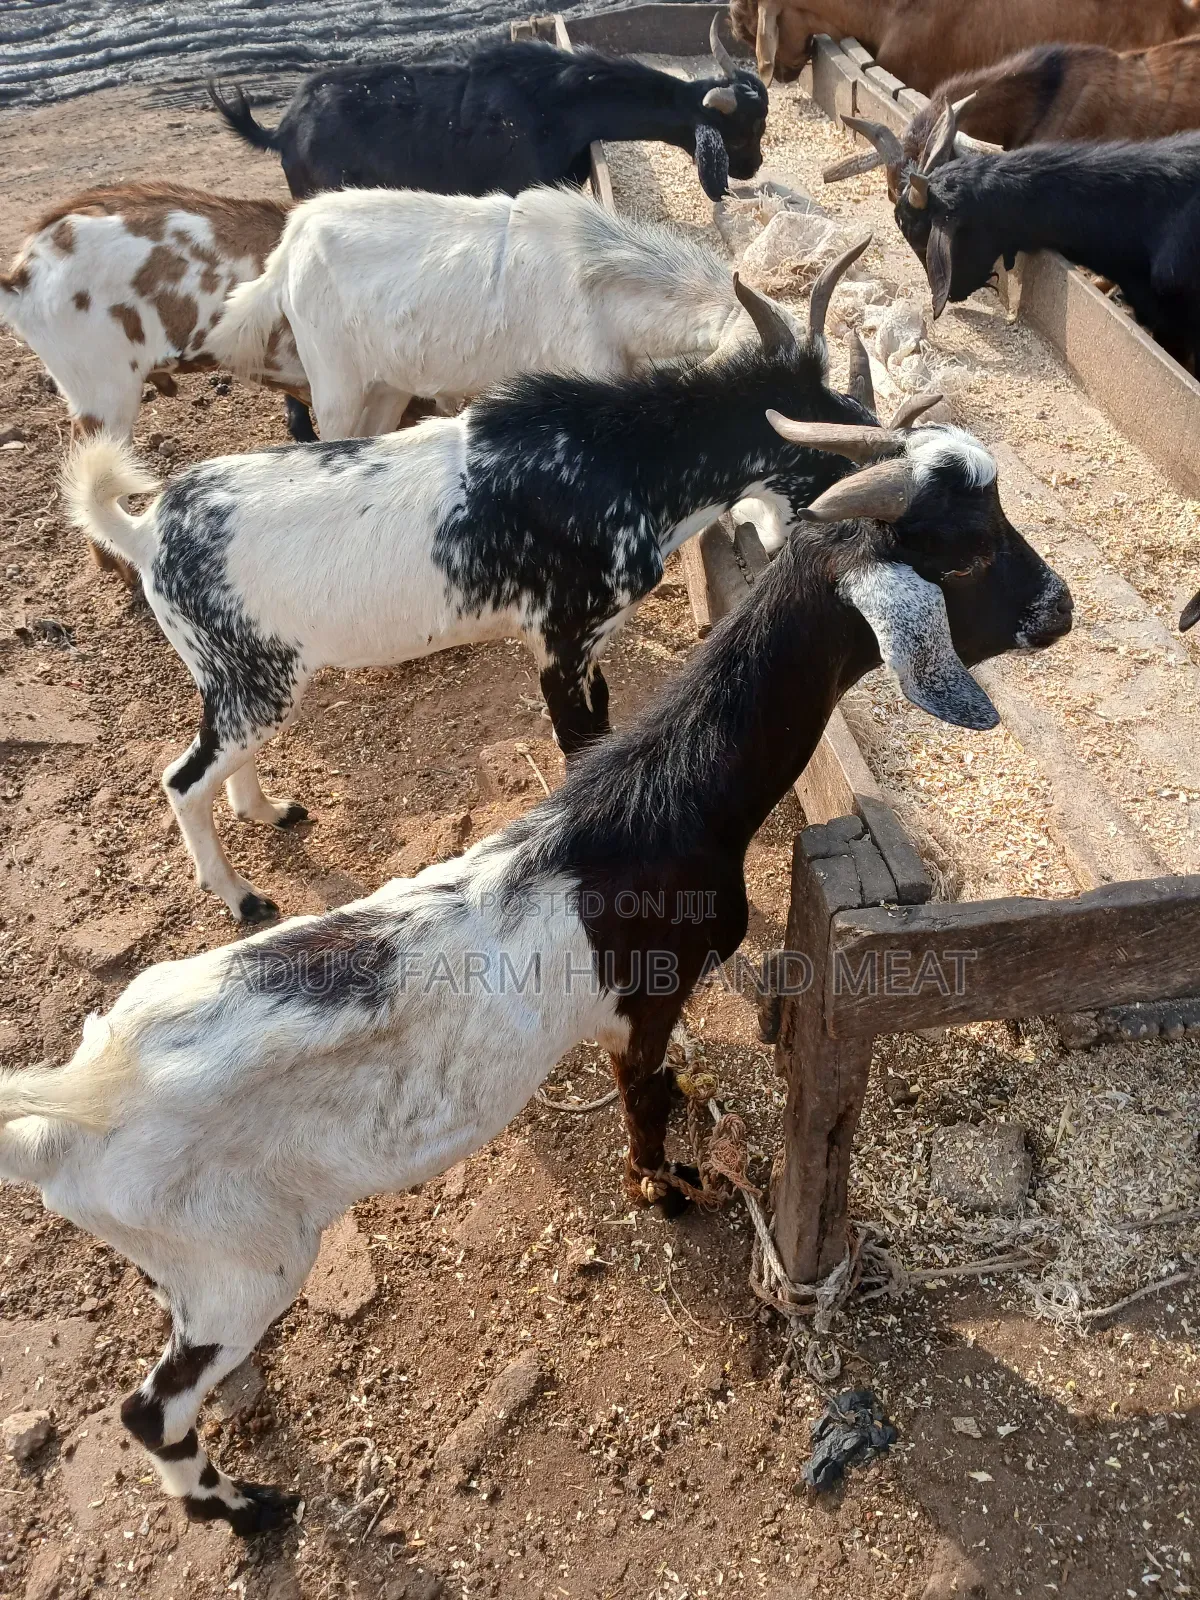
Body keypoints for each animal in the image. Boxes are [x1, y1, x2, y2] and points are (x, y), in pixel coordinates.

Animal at [1, 434, 1070, 1534]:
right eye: (972, 553)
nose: (1060, 610)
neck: (665, 803)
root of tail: (60, 1118)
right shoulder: (650, 995)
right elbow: (644, 1096)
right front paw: (662, 1187)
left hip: (189, 1263)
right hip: (241, 1263)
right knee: (149, 1408)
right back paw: (242, 1508)